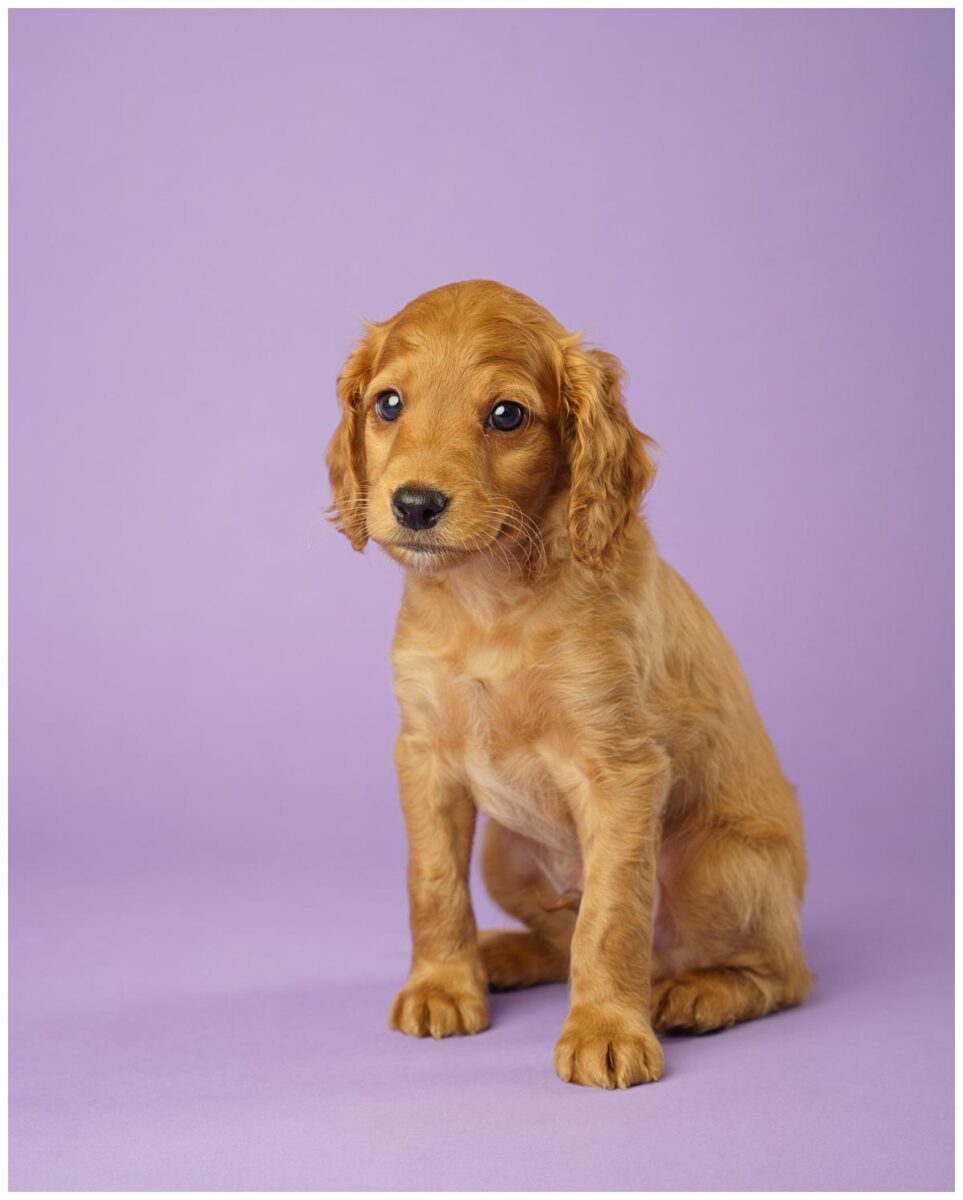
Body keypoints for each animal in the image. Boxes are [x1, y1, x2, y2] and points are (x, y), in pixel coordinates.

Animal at [326, 278, 806, 1089]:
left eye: (506, 415)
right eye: (388, 404)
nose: (415, 505)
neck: (488, 600)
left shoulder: (621, 771)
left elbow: (610, 917)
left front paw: (606, 1031)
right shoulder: (424, 755)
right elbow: (432, 882)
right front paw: (441, 985)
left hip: (715, 866)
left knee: (784, 973)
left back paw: (699, 992)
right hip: (505, 853)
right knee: (557, 932)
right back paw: (503, 956)